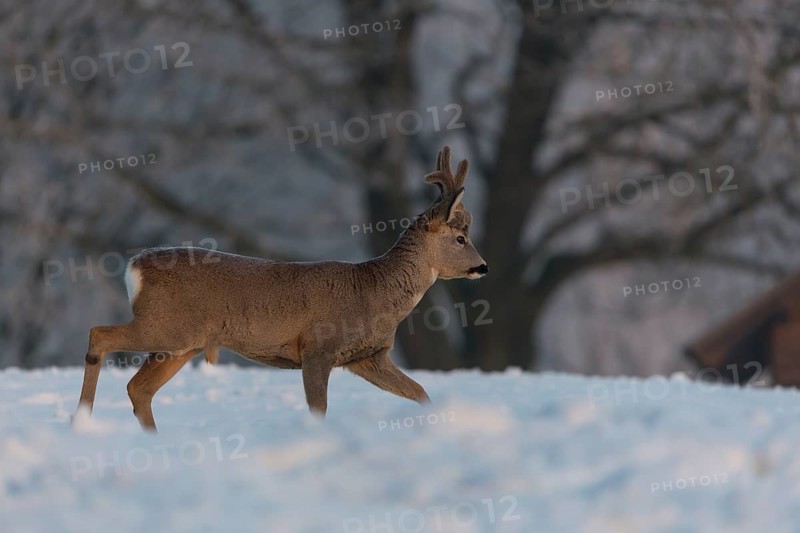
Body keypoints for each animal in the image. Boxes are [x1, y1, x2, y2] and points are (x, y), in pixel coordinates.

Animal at [74, 146, 488, 431]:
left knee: (138, 388)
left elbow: (421, 393)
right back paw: (81, 420)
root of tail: (135, 265)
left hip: (181, 343)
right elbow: (319, 409)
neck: (373, 292)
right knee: (99, 334)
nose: (483, 267)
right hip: (167, 326)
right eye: (461, 237)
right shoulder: (318, 348)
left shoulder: (368, 357)